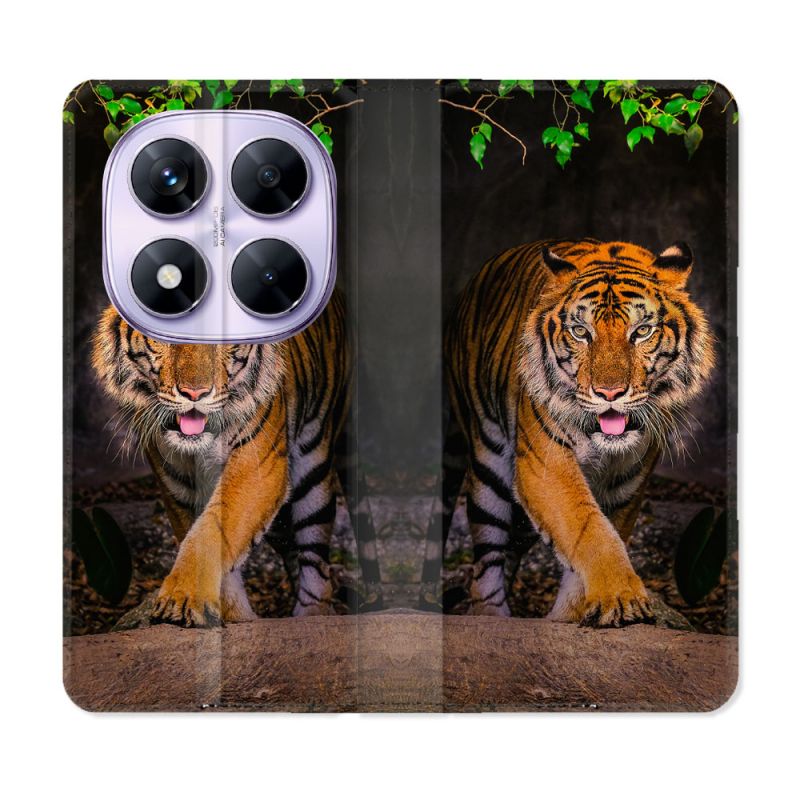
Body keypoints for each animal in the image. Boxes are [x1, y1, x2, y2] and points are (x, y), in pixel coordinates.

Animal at [91, 290, 366, 627]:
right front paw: (234, 616)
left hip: (314, 471)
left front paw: (182, 599)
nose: (194, 394)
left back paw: (311, 616)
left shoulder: (256, 468)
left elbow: (210, 532)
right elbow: (205, 538)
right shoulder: (177, 487)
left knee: (316, 561)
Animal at [440, 239, 714, 627]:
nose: (610, 393)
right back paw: (492, 617)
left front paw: (572, 615)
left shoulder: (627, 483)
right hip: (488, 468)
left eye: (642, 331)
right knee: (485, 565)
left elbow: (599, 536)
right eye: (581, 332)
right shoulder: (545, 465)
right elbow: (589, 529)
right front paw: (622, 596)